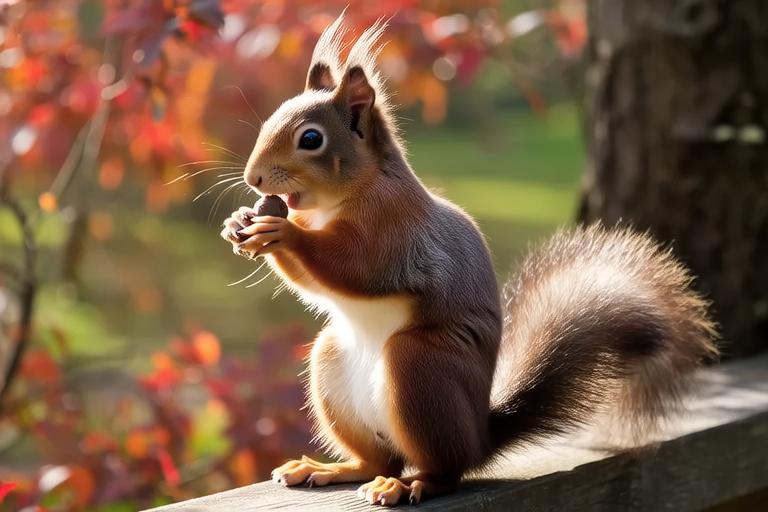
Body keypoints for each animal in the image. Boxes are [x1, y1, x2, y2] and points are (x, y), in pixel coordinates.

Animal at [220, 14, 718, 507]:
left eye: (311, 138)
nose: (253, 178)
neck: (347, 195)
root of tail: (481, 438)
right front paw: (238, 222)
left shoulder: (394, 229)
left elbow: (357, 269)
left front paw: (285, 233)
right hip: (332, 365)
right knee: (378, 459)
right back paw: (331, 469)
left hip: (421, 369)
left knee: (443, 470)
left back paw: (411, 484)